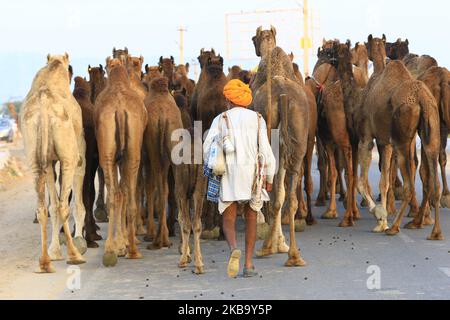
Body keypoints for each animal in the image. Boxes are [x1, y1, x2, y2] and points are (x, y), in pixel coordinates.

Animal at [20, 53, 87, 274]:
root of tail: (43, 106)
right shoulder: (78, 154)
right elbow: (75, 203)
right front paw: (78, 241)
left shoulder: (48, 162)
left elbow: (52, 205)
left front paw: (55, 251)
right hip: (68, 157)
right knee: (64, 204)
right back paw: (74, 256)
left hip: (34, 158)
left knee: (44, 207)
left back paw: (45, 262)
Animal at [95, 57, 148, 268]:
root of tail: (118, 109)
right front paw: (123, 243)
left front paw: (120, 244)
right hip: (131, 155)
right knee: (126, 194)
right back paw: (131, 249)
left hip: (111, 154)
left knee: (116, 194)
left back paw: (112, 250)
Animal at [356, 35, 442, 240]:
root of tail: (422, 99)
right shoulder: (385, 142)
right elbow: (384, 181)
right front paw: (382, 219)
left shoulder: (367, 137)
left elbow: (362, 182)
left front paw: (380, 216)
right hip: (431, 129)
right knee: (434, 182)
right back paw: (434, 232)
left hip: (402, 141)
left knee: (410, 185)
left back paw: (395, 227)